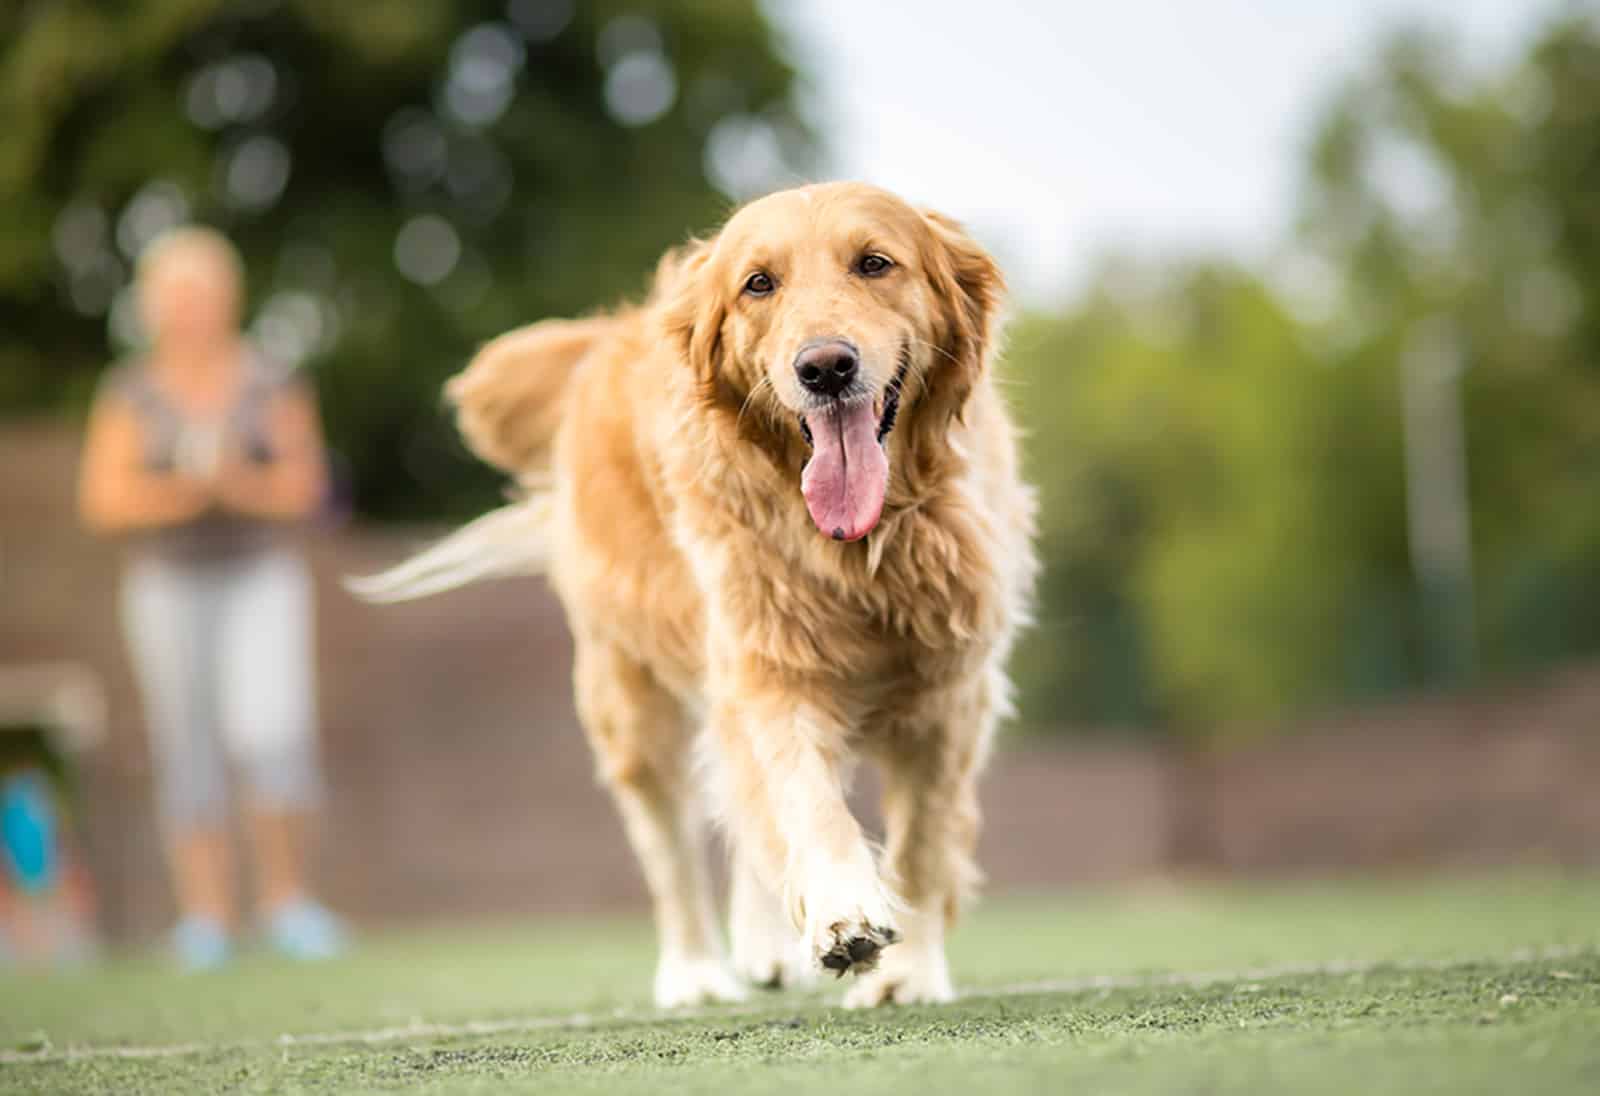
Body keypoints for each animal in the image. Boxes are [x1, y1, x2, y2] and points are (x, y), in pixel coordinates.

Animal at [356, 181, 1036, 1011]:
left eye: (875, 263)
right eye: (759, 284)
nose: (826, 368)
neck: (861, 548)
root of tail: (610, 333)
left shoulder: (951, 690)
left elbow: (923, 842)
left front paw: (906, 975)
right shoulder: (768, 667)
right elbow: (804, 801)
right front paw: (842, 911)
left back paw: (766, 949)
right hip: (630, 703)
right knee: (672, 849)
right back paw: (697, 974)